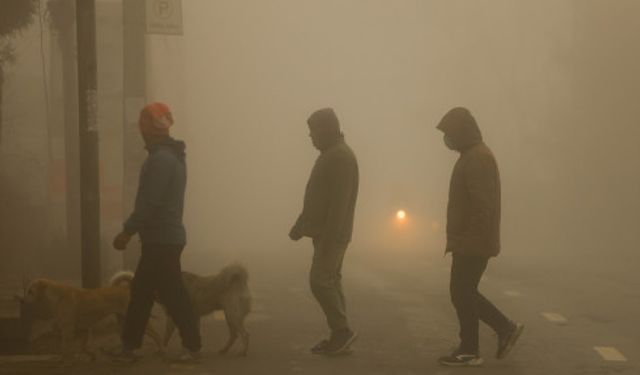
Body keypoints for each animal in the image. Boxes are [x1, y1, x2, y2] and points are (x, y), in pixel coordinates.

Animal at [17, 272, 164, 360]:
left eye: (30, 291)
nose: (22, 300)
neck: (58, 295)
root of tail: (127, 288)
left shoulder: (68, 329)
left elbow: (66, 347)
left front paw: (65, 358)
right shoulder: (83, 329)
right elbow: (82, 346)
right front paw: (89, 355)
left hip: (135, 321)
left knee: (157, 335)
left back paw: (160, 350)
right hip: (122, 322)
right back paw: (124, 354)